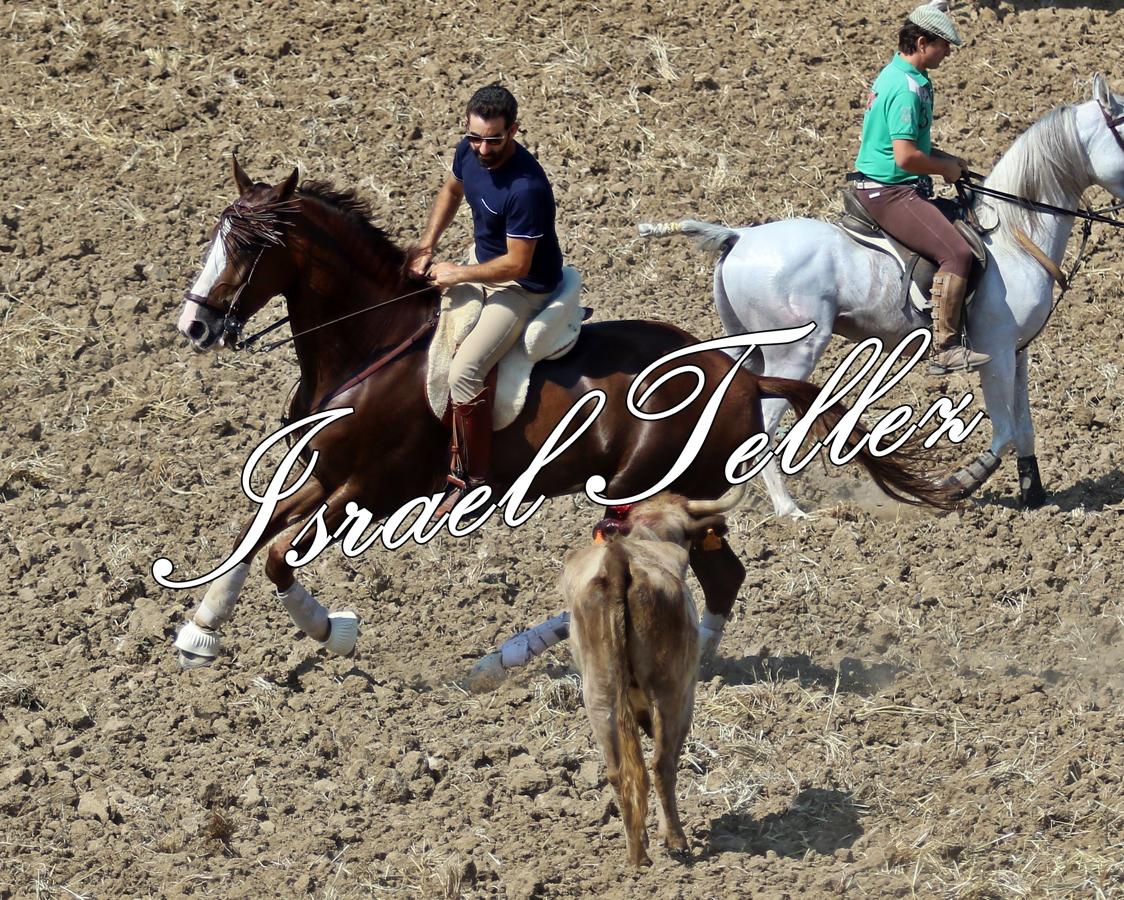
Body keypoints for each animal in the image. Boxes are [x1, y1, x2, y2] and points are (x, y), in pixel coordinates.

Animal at [168, 158, 957, 665]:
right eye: (216, 235)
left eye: (249, 245)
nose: (195, 327)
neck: (372, 342)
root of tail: (734, 375)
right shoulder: (324, 474)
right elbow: (253, 531)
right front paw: (201, 630)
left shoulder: (371, 490)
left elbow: (279, 555)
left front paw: (333, 630)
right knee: (720, 577)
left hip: (642, 490)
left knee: (672, 569)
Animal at [566, 487, 741, 867]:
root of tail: (619, 563)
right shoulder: (685, 698)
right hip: (669, 692)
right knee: (661, 765)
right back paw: (676, 840)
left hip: (599, 697)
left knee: (619, 773)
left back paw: (636, 854)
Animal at [642, 73, 1124, 516]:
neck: (1014, 235)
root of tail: (739, 236)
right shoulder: (996, 351)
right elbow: (1003, 431)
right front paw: (957, 484)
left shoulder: (1018, 351)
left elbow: (1023, 428)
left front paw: (1034, 495)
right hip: (794, 354)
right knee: (765, 426)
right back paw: (789, 510)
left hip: (753, 350)